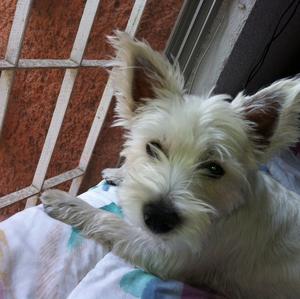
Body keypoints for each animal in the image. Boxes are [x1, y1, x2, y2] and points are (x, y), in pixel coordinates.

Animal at [41, 31, 300, 298]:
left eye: (215, 168)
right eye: (152, 148)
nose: (158, 217)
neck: (227, 208)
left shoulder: (164, 255)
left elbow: (110, 222)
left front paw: (67, 203)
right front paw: (119, 173)